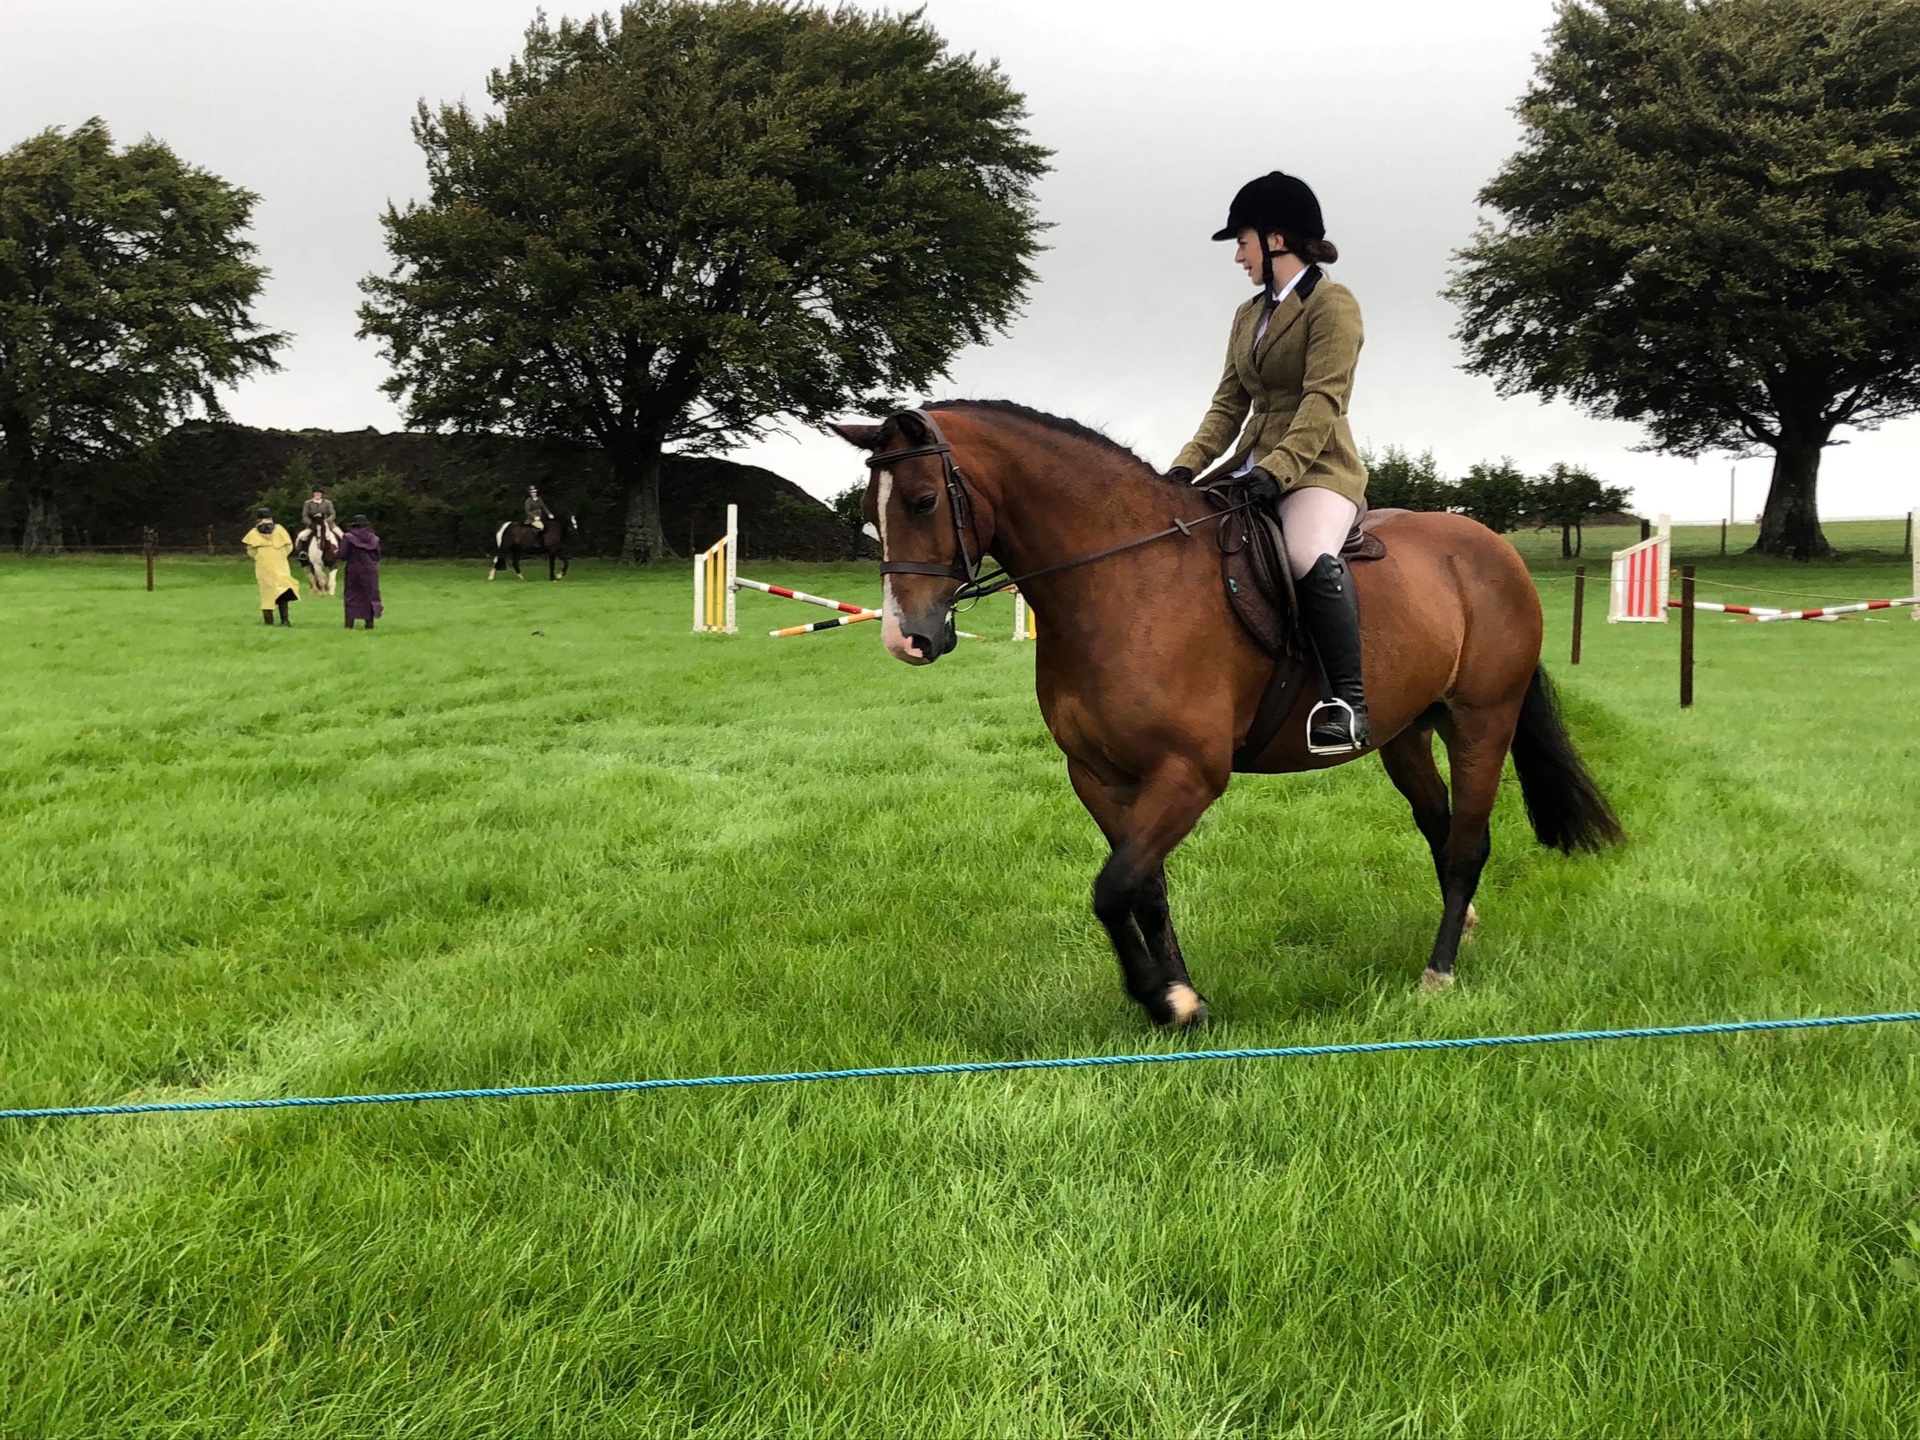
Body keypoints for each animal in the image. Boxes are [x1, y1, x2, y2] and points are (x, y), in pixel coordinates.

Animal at [832, 402, 1622, 1030]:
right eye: (870, 516)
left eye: (924, 501)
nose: (906, 639)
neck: (1122, 580)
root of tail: (1492, 547)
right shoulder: (1098, 775)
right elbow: (1142, 887)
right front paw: (1180, 997)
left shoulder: (1190, 774)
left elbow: (1111, 887)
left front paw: (1164, 1000)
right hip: (1405, 733)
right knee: (1441, 824)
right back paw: (1467, 923)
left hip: (1482, 720)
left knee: (1467, 843)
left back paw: (1439, 973)